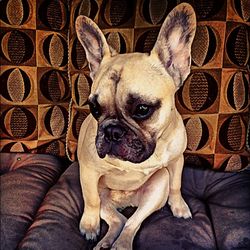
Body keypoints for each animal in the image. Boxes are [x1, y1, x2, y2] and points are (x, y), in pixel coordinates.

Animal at [75, 2, 196, 249]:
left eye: (142, 109)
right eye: (95, 109)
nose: (112, 131)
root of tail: (125, 201)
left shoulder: (176, 161)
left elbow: (177, 184)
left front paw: (179, 206)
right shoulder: (89, 173)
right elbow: (91, 201)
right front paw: (90, 225)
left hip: (157, 186)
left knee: (132, 221)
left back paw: (120, 244)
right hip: (101, 193)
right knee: (116, 218)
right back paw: (105, 241)